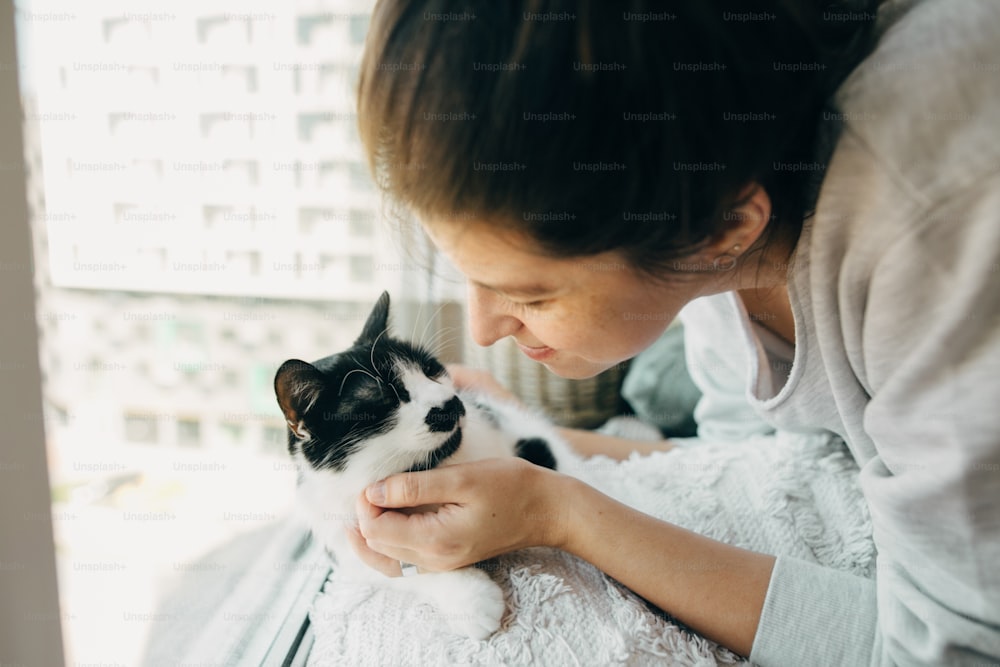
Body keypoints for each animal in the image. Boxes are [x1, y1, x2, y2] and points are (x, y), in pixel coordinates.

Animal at [274, 290, 576, 640]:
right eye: (385, 399)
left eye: (431, 369)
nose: (451, 403)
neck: (431, 469)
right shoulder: (345, 541)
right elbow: (399, 569)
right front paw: (471, 600)